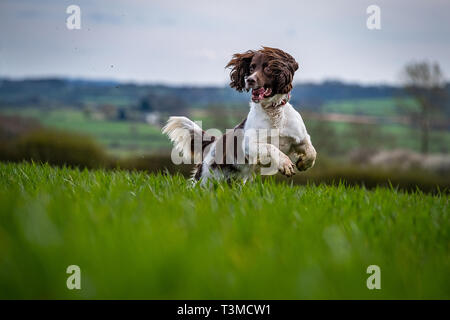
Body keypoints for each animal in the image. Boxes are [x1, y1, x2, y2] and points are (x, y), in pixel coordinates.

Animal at [163, 46, 316, 184]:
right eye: (251, 68)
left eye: (268, 68)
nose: (249, 80)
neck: (273, 113)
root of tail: (213, 144)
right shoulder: (249, 145)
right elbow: (270, 146)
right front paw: (285, 164)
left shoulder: (300, 137)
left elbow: (311, 151)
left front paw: (303, 164)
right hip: (206, 179)